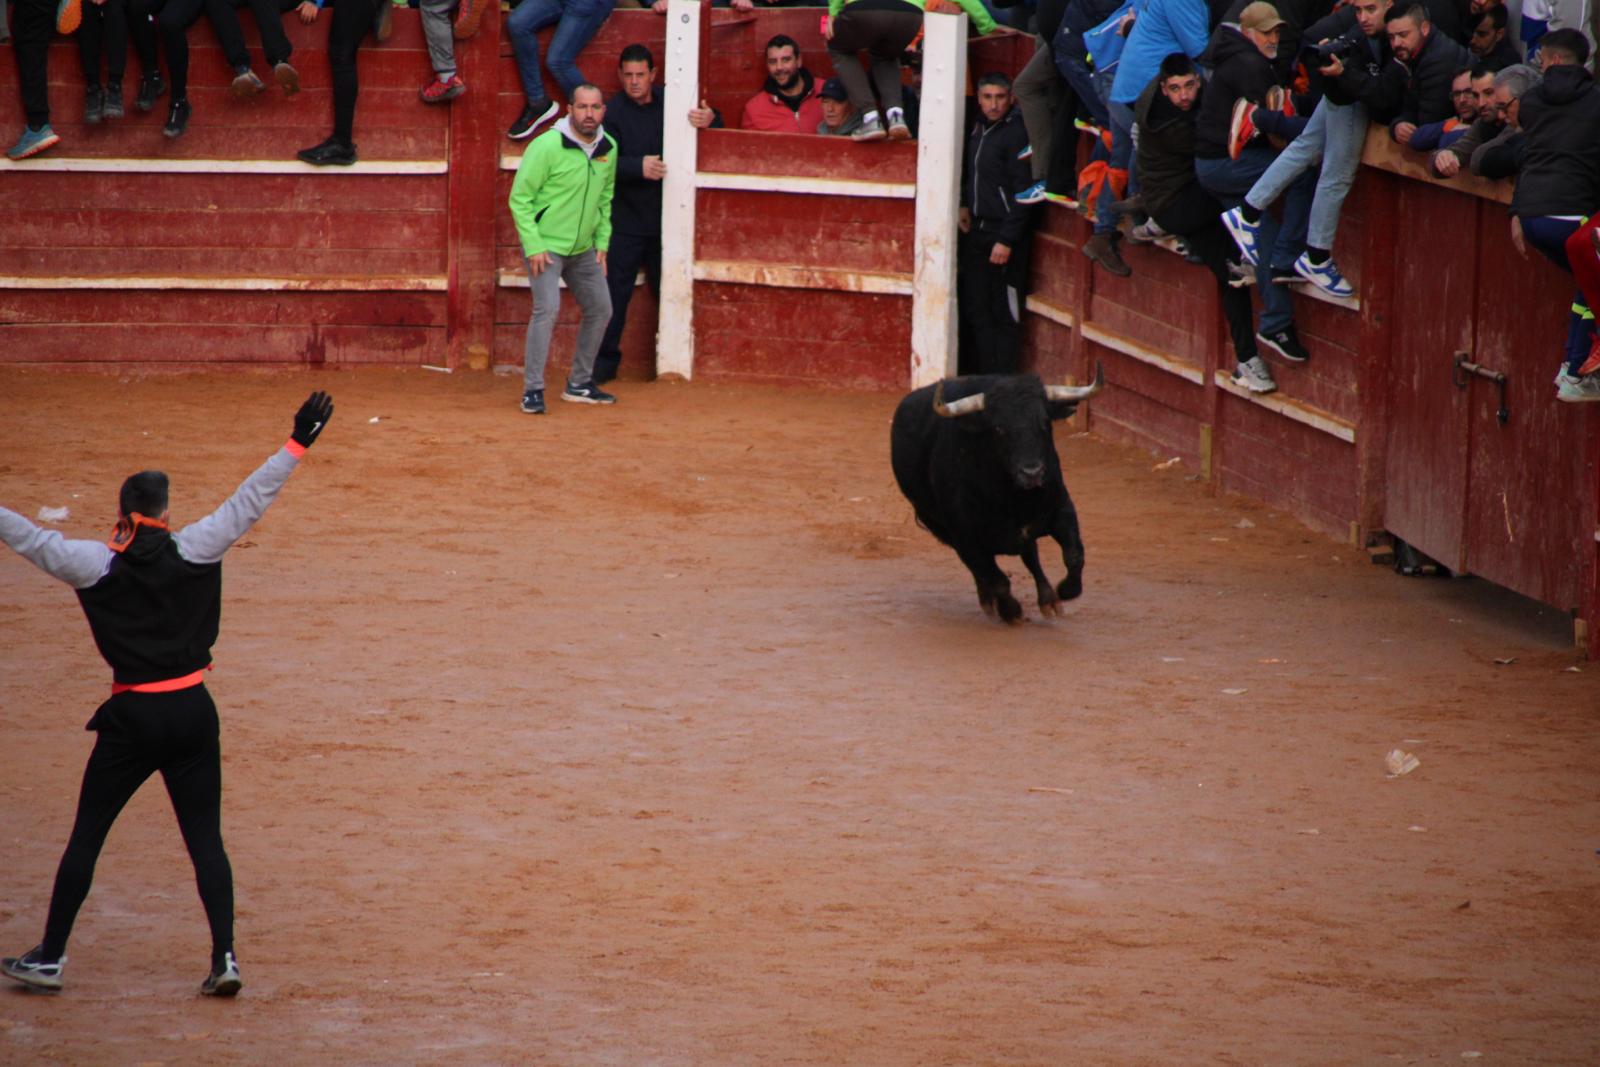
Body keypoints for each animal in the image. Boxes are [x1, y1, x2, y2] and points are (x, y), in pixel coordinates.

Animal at [889, 367, 1100, 620]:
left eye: (1045, 422)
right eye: (999, 428)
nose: (1032, 472)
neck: (1013, 496)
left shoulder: (1062, 509)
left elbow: (1074, 554)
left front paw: (1067, 590)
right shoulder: (965, 536)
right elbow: (995, 579)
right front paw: (1011, 611)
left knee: (1031, 556)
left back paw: (1048, 599)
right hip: (940, 527)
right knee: (983, 570)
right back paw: (990, 600)